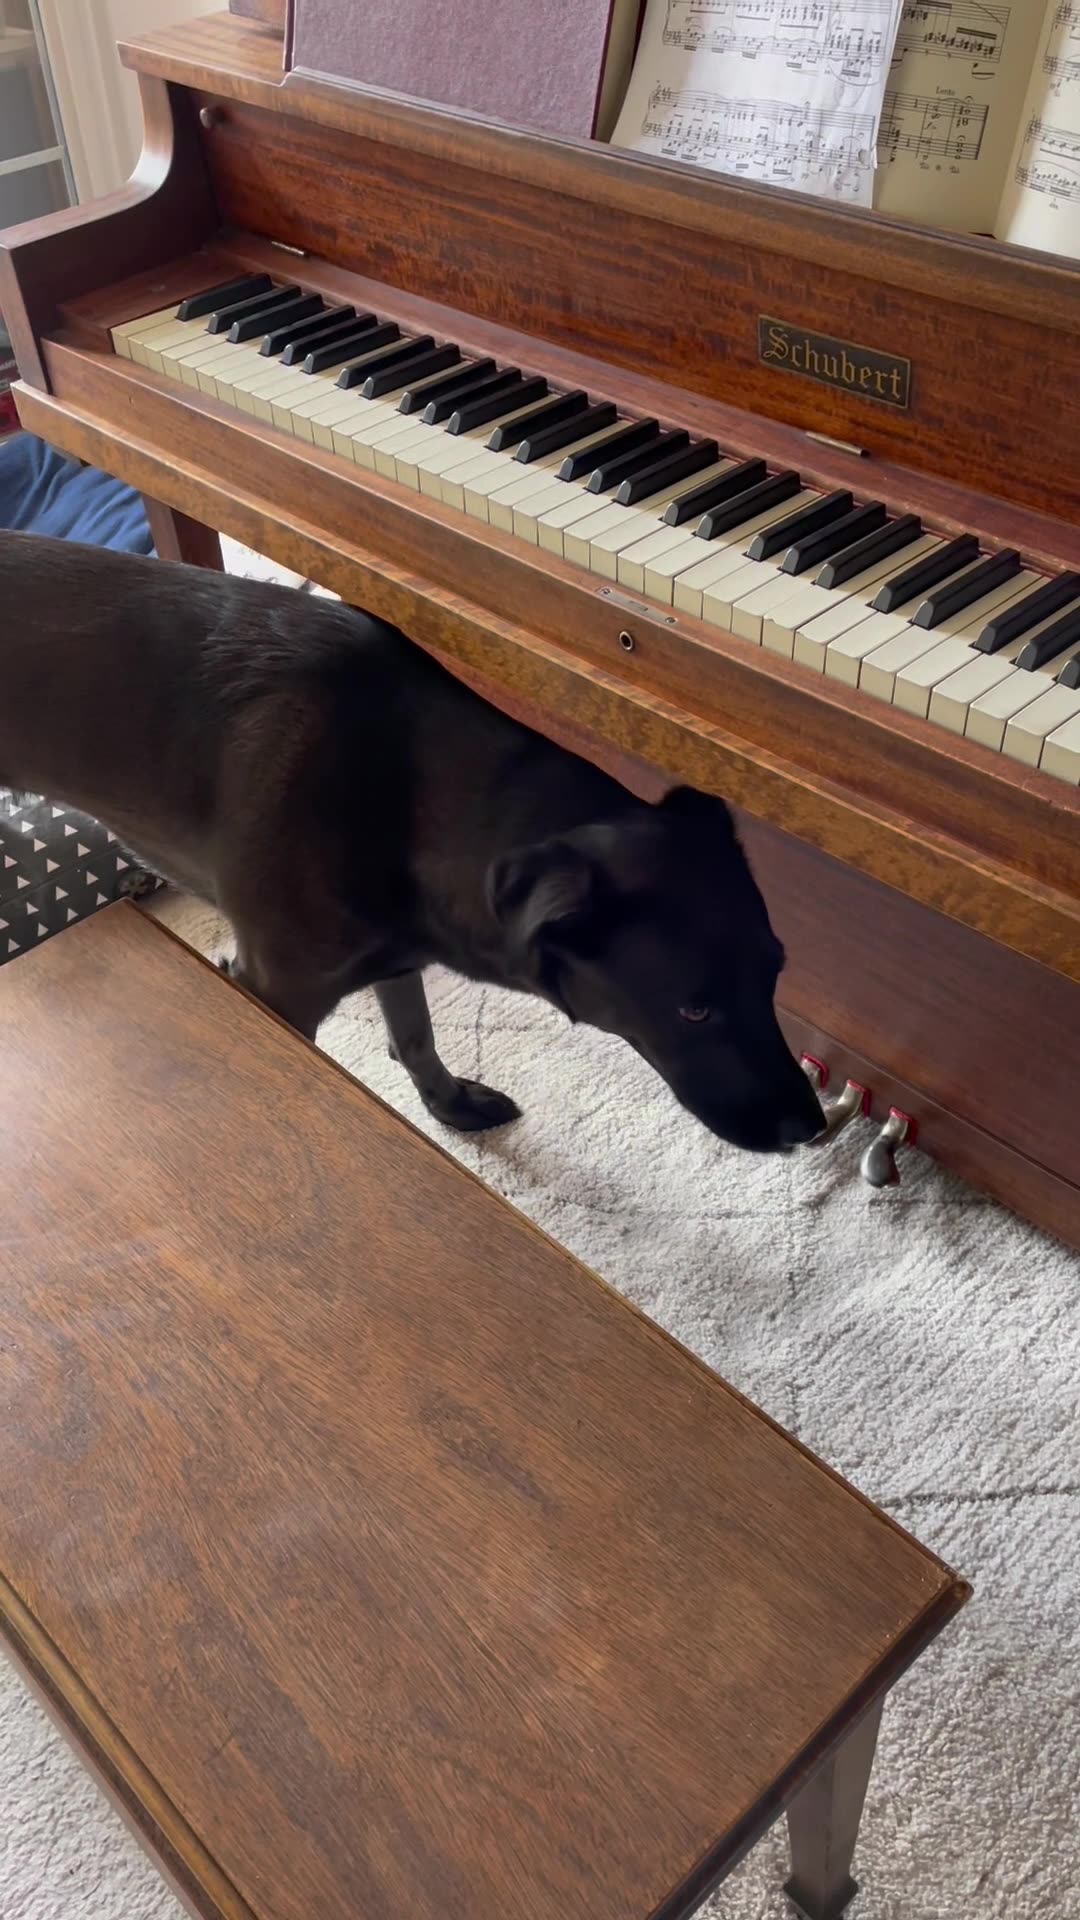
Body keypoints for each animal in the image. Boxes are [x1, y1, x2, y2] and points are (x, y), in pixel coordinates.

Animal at [0, 529, 818, 1152]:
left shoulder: (395, 951)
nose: (809, 1128)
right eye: (693, 1011)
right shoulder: (274, 991)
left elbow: (416, 1036)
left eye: (777, 972)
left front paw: (448, 1105)